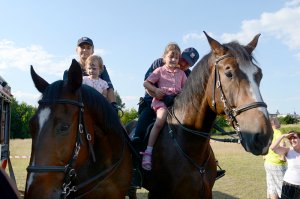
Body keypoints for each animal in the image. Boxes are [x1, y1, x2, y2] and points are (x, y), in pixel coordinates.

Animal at [127, 31, 274, 198]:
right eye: (229, 73)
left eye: (259, 74)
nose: (263, 137)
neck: (190, 144)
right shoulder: (159, 193)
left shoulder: (205, 192)